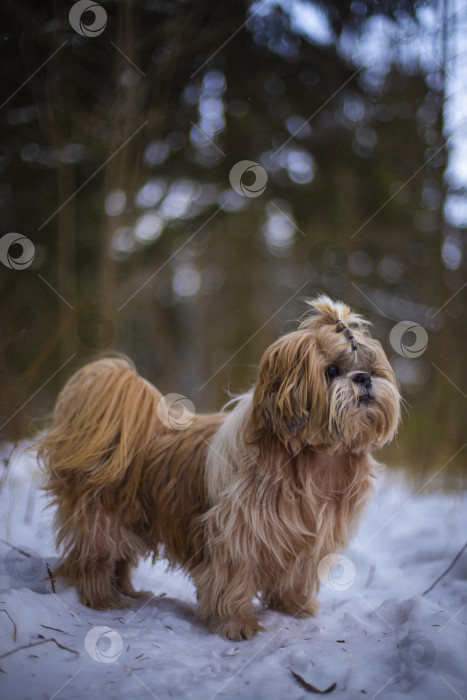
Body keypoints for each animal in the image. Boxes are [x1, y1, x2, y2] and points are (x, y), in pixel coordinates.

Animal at [37, 296, 402, 640]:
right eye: (331, 371)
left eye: (371, 367)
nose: (364, 378)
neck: (317, 457)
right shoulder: (238, 533)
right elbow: (233, 579)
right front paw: (236, 624)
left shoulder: (309, 538)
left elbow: (296, 575)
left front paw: (294, 606)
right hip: (104, 516)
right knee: (94, 559)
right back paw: (103, 599)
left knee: (119, 559)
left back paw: (127, 591)